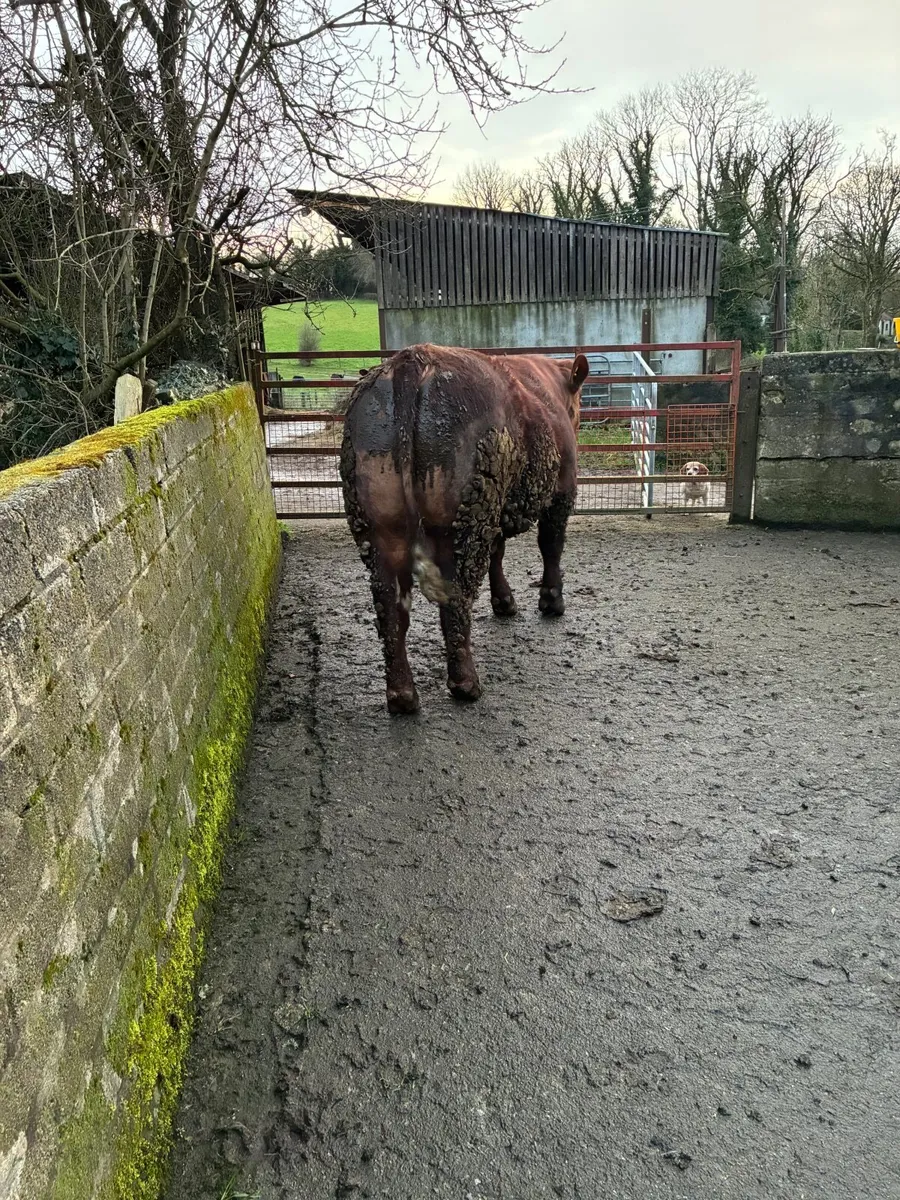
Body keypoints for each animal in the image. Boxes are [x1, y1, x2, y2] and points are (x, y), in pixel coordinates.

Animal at [339, 343, 590, 713]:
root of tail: (412, 361)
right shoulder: (561, 491)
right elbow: (551, 547)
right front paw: (551, 601)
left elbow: (499, 553)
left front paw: (504, 602)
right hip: (461, 525)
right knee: (455, 600)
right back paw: (465, 683)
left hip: (383, 528)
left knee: (390, 607)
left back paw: (402, 696)